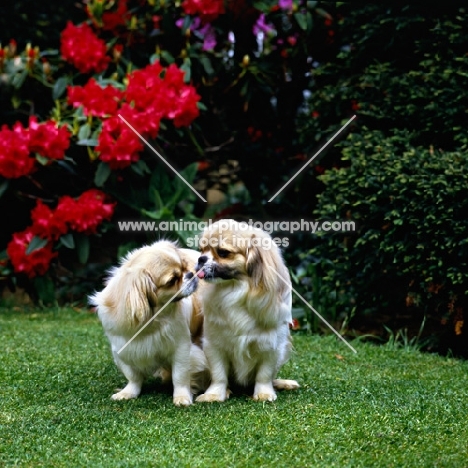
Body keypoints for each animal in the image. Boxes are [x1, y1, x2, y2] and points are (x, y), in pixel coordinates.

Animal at [90, 241, 207, 406]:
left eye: (185, 267)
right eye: (172, 280)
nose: (191, 274)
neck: (153, 320)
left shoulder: (182, 349)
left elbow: (180, 375)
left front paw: (181, 397)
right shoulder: (123, 350)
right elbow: (133, 376)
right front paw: (128, 392)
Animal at [194, 220, 300, 402]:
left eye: (223, 252)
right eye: (202, 250)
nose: (201, 259)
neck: (235, 290)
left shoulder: (272, 346)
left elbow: (264, 375)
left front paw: (264, 393)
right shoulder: (214, 346)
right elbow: (218, 374)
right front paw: (214, 394)